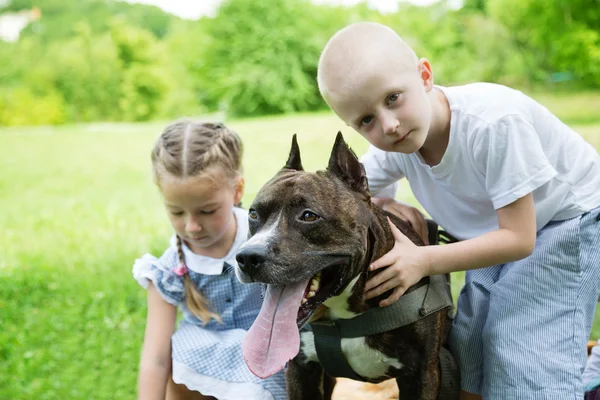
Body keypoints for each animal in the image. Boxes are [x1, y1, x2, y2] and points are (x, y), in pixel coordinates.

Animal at [237, 133, 458, 398]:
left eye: (309, 216)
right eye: (253, 213)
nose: (248, 257)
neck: (344, 313)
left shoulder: (422, 375)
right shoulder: (301, 370)